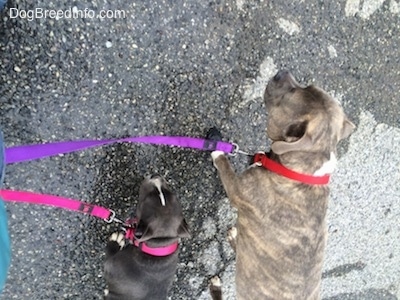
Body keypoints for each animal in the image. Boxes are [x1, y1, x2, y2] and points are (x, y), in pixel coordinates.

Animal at [209, 71, 356, 300]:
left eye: (292, 92)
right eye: (307, 86)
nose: (281, 73)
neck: (301, 172)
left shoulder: (236, 189)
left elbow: (224, 164)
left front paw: (216, 147)